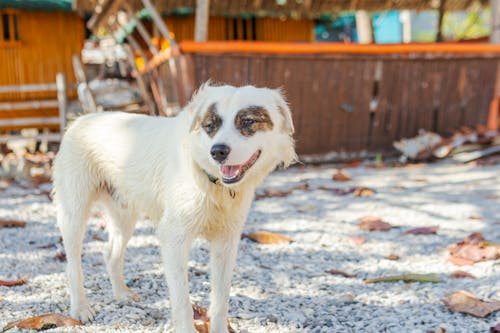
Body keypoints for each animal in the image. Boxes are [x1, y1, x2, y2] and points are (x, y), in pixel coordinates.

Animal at [53, 83, 296, 332]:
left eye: (248, 121)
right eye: (210, 126)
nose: (217, 151)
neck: (210, 180)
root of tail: (84, 118)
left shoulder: (226, 242)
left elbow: (221, 300)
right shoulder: (174, 239)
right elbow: (182, 303)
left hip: (124, 217)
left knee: (111, 254)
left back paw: (121, 294)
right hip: (74, 213)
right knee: (73, 265)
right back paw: (80, 308)